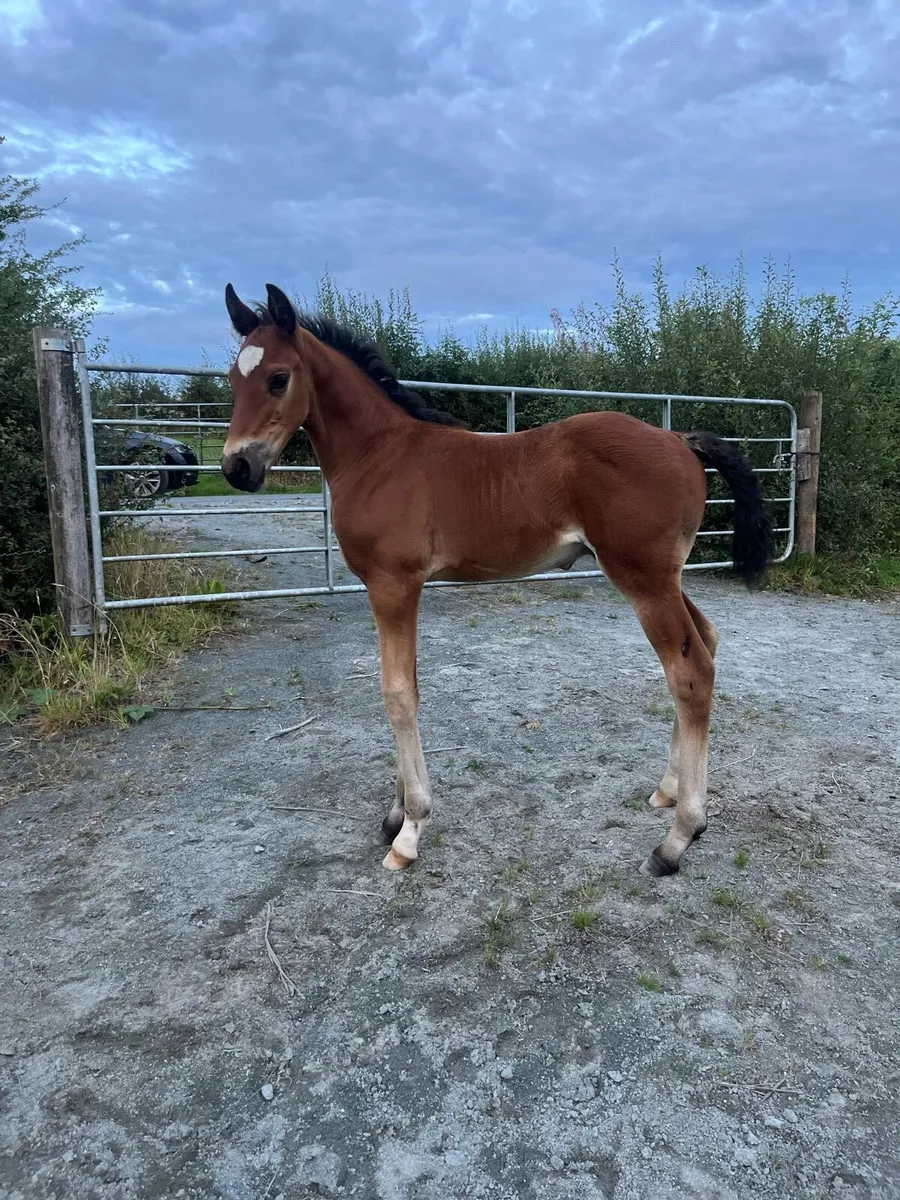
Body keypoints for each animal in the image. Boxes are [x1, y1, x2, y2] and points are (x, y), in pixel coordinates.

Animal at [221, 282, 772, 878]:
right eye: (231, 379)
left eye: (279, 378)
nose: (236, 468)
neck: (380, 455)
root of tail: (678, 438)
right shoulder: (395, 589)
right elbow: (409, 684)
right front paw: (395, 814)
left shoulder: (393, 585)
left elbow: (396, 693)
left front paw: (410, 830)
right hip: (665, 576)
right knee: (706, 643)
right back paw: (668, 790)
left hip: (643, 578)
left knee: (689, 673)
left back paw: (678, 839)